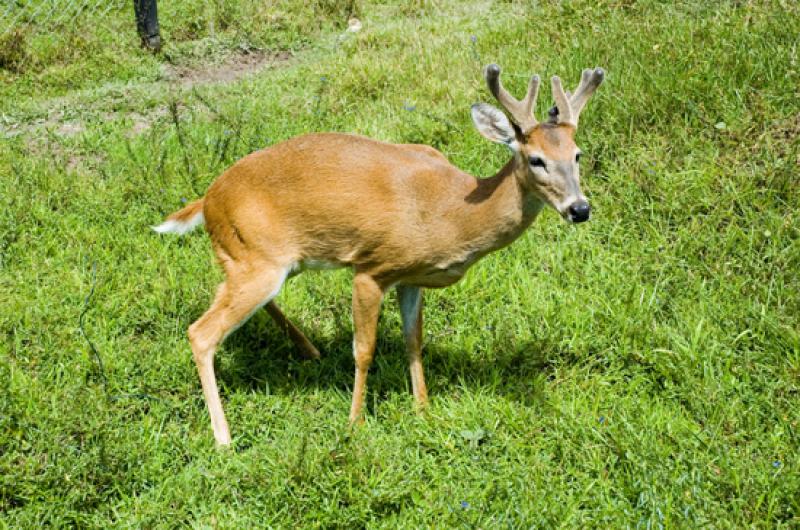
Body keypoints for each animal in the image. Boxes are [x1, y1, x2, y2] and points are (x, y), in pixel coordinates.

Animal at [153, 64, 604, 444]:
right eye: (536, 159)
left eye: (577, 154)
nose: (579, 209)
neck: (451, 212)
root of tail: (208, 199)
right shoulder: (372, 268)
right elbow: (364, 349)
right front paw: (355, 423)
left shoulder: (411, 277)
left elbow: (413, 340)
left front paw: (423, 409)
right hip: (258, 261)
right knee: (201, 332)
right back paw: (224, 438)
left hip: (259, 259)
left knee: (225, 294)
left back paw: (309, 350)